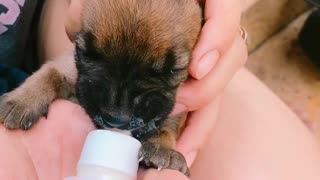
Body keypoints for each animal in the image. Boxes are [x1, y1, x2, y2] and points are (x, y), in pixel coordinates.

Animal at [0, 0, 200, 176]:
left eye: (174, 70)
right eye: (85, 52)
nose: (116, 119)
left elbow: (170, 121)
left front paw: (163, 146)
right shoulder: (69, 68)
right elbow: (50, 72)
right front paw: (22, 100)